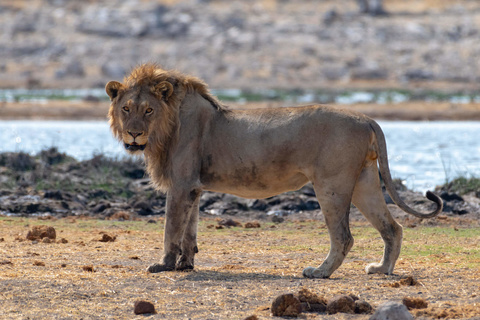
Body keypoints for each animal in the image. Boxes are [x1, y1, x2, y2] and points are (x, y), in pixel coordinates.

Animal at [106, 63, 442, 278]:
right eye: (126, 109)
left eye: (148, 110)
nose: (134, 134)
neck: (167, 125)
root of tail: (366, 118)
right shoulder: (194, 187)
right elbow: (190, 228)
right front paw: (185, 264)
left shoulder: (181, 185)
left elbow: (171, 228)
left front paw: (163, 265)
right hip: (364, 181)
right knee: (392, 228)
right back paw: (382, 269)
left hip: (331, 185)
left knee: (344, 236)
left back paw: (319, 272)